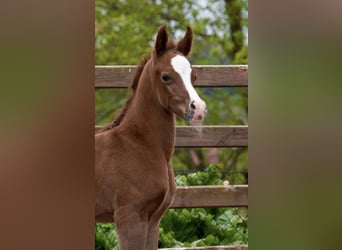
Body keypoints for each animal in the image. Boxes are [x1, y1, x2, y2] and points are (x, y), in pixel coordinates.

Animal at [95, 24, 207, 249]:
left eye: (194, 77)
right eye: (166, 76)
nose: (198, 109)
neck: (139, 144)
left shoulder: (153, 221)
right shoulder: (130, 217)